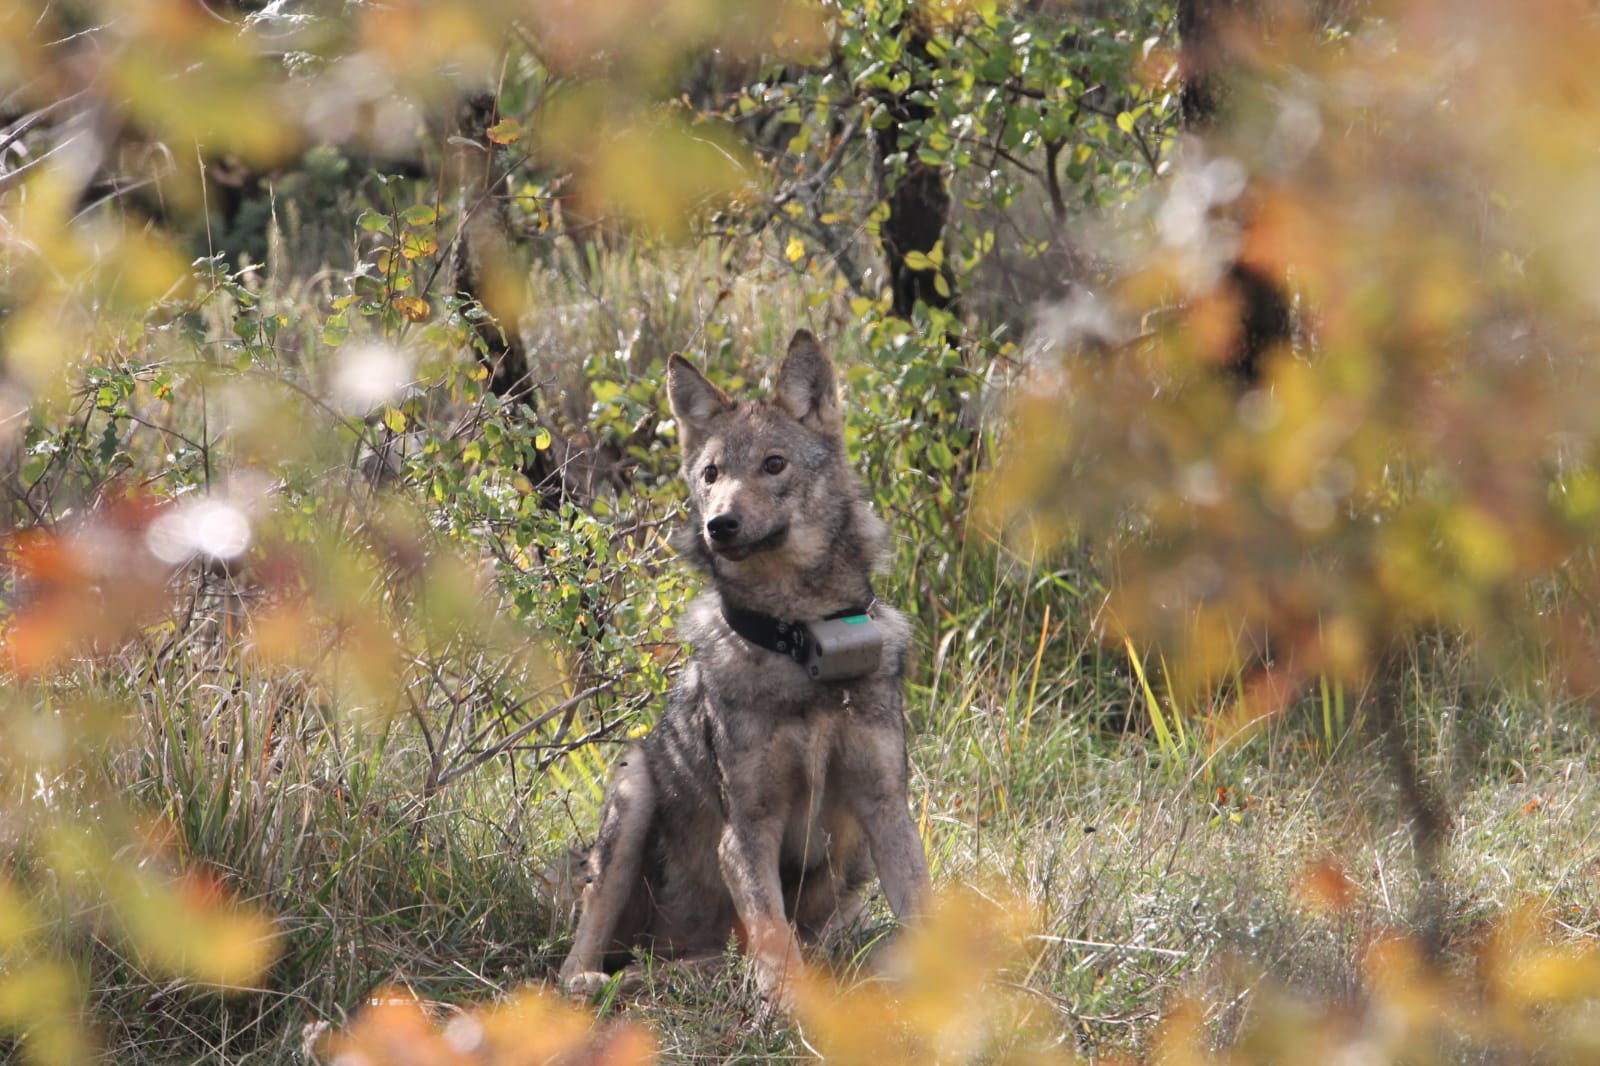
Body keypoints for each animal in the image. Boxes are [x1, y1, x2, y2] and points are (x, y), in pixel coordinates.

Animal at [563, 328, 934, 998]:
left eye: (774, 464)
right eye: (711, 474)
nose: (720, 524)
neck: (801, 644)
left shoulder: (886, 806)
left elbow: (925, 916)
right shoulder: (746, 831)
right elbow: (776, 946)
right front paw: (788, 1008)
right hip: (633, 788)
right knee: (576, 966)